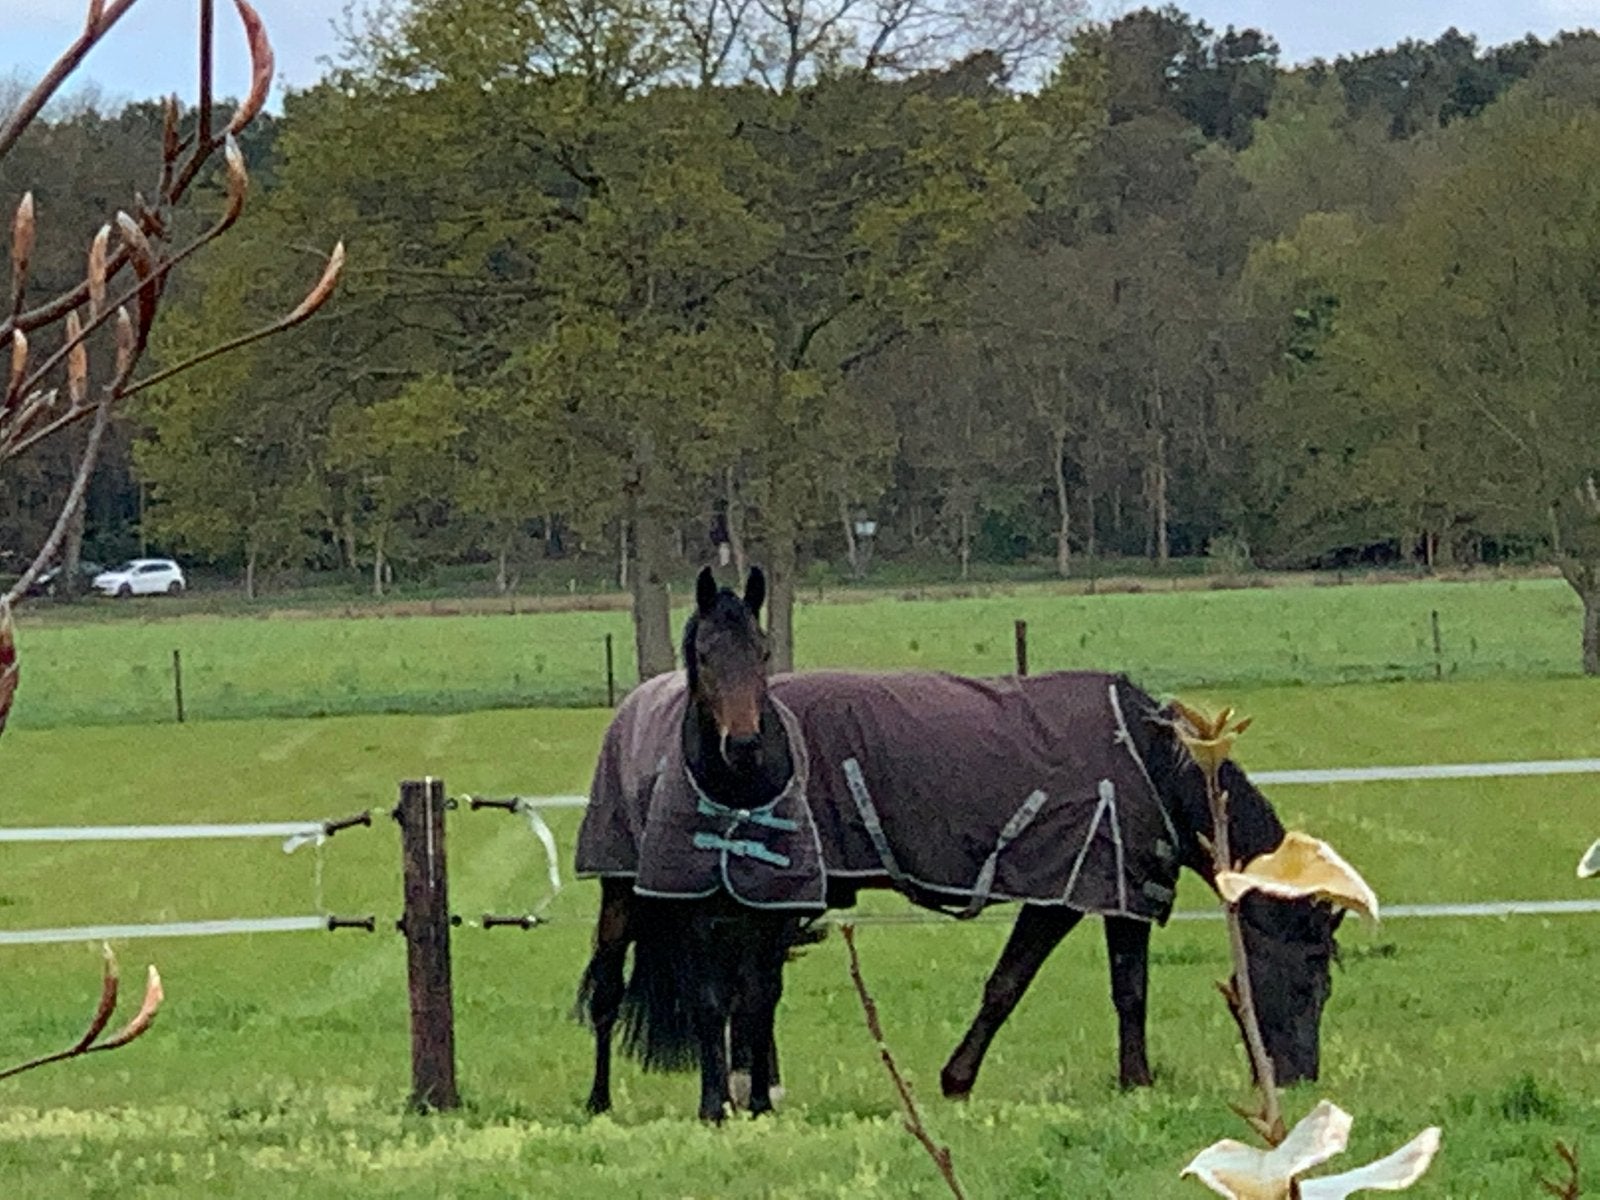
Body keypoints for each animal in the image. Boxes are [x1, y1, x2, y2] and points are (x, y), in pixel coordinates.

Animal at [576, 577, 1343, 1120]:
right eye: (1312, 973)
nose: (1300, 1076)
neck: (1149, 761)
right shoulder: (1080, 894)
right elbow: (1058, 988)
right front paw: (1125, 1081)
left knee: (748, 990)